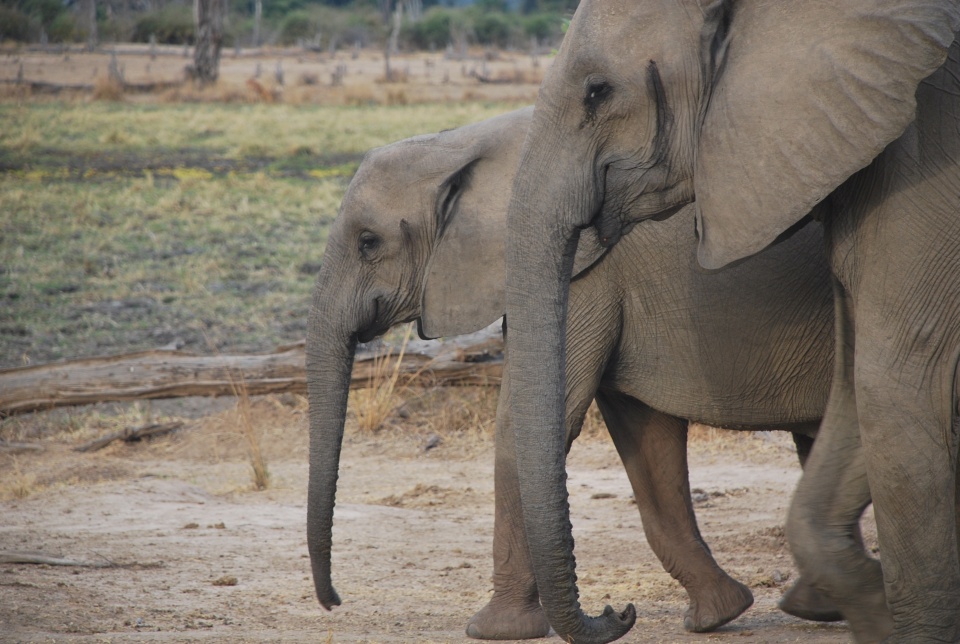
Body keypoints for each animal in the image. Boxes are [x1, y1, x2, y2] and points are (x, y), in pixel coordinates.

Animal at [305, 106, 841, 638]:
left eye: (369, 242)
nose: (334, 602)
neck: (469, 143)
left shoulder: (585, 272)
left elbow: (525, 424)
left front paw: (496, 630)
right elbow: (644, 432)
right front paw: (717, 614)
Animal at [501, 0, 960, 642]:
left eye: (597, 91)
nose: (620, 611)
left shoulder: (928, 175)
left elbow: (898, 386)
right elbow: (855, 392)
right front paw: (872, 607)